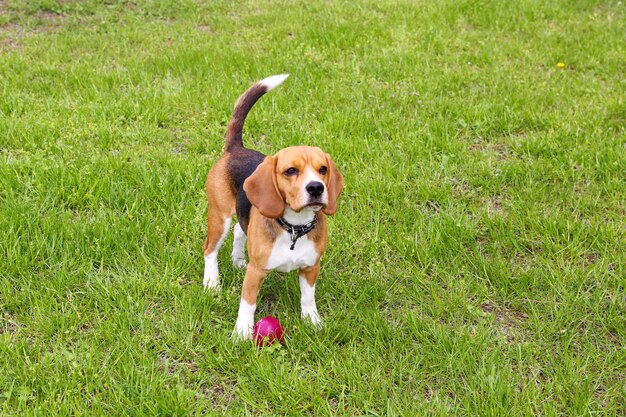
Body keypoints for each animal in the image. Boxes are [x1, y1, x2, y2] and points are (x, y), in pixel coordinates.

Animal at [204, 74, 342, 338]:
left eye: (323, 169)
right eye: (291, 171)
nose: (316, 188)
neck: (294, 228)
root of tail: (236, 148)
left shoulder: (311, 268)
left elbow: (308, 298)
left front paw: (312, 321)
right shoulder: (256, 272)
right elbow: (248, 303)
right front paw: (241, 333)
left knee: (239, 230)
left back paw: (237, 260)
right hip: (219, 217)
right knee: (210, 249)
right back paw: (211, 284)